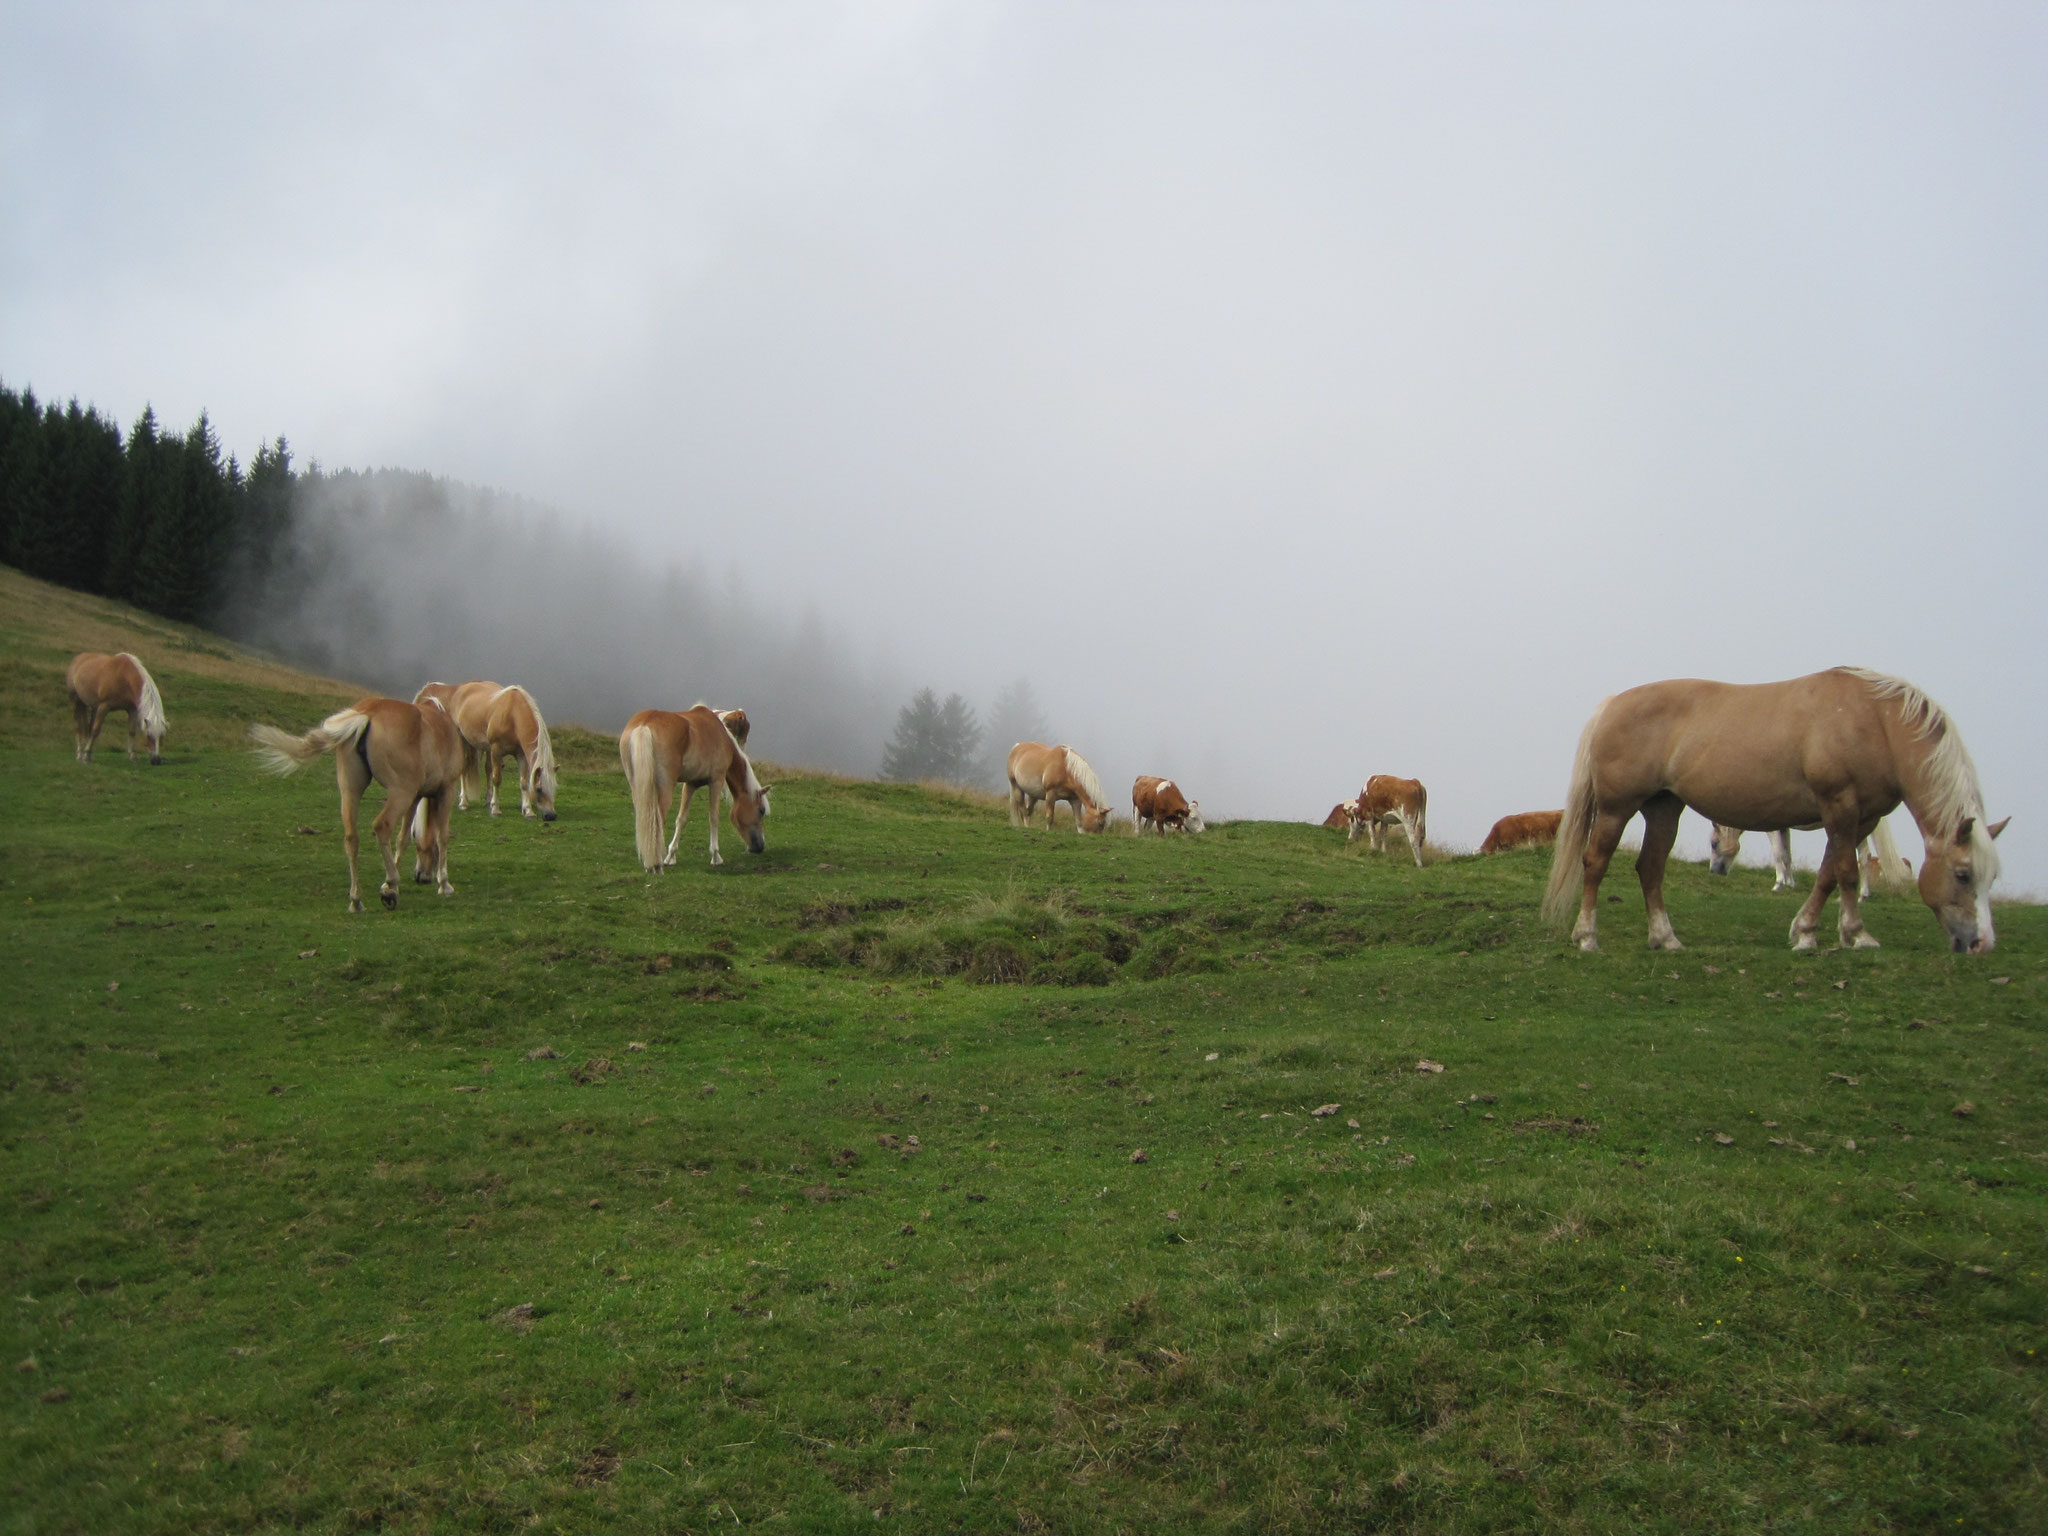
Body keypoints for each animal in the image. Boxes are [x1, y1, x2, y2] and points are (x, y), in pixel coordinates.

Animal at [249, 700, 466, 913]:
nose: (422, 877)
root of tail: (367, 713)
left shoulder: (415, 797)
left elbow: (402, 839)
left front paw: (390, 884)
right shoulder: (446, 790)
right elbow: (442, 836)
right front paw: (443, 884)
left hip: (352, 791)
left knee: (351, 838)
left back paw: (356, 900)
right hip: (400, 792)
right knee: (382, 826)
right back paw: (390, 885)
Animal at [610, 708, 770, 872]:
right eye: (761, 810)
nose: (760, 846)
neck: (723, 736)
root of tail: (644, 724)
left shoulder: (690, 784)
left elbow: (682, 818)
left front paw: (671, 856)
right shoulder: (716, 780)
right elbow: (714, 817)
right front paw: (715, 856)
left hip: (638, 788)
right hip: (665, 789)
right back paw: (655, 863)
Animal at [1540, 671, 2007, 958]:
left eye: (1991, 878)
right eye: (1963, 874)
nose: (1982, 944)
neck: (1874, 722)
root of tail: (1611, 704)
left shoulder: (1861, 820)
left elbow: (1829, 874)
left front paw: (1806, 933)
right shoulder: (1839, 805)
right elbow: (1847, 873)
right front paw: (1856, 935)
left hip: (1664, 809)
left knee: (1650, 868)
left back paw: (1665, 938)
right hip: (1616, 809)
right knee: (1596, 862)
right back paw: (1587, 937)